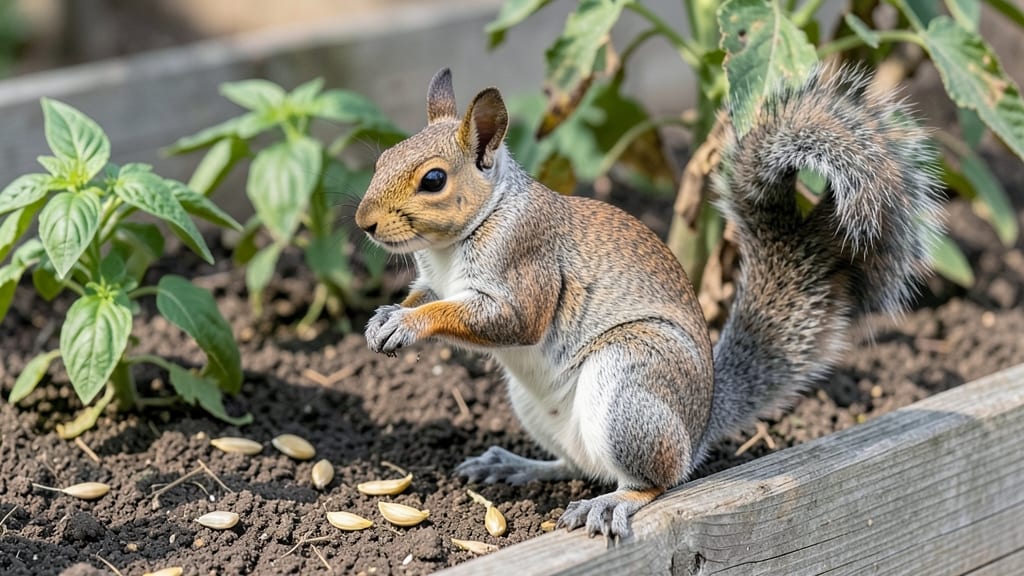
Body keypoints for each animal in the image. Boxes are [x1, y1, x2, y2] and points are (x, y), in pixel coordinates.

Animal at [355, 66, 941, 540]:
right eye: (381, 158)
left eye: (433, 179)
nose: (364, 223)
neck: (452, 245)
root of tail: (699, 426)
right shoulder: (434, 277)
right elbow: (426, 294)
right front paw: (385, 317)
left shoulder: (527, 264)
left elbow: (509, 319)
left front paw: (408, 324)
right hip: (539, 408)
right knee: (579, 465)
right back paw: (517, 466)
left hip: (631, 382)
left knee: (654, 480)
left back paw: (612, 503)